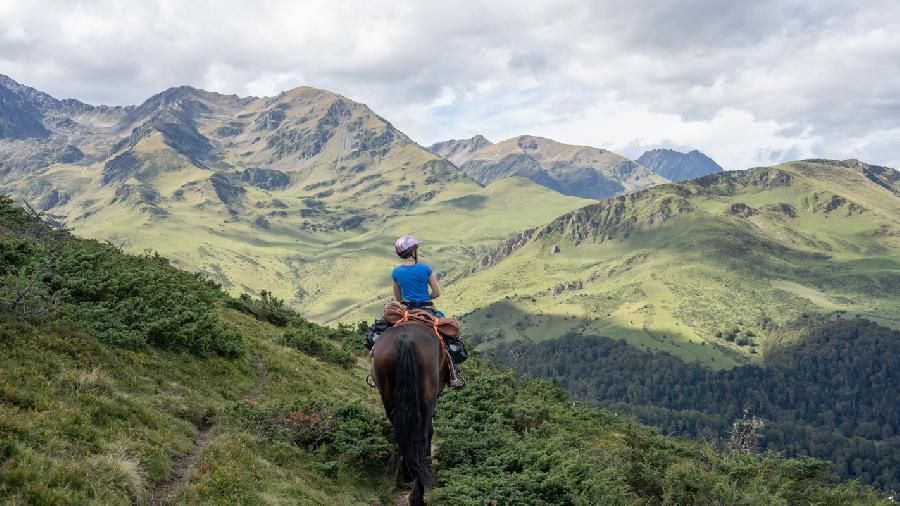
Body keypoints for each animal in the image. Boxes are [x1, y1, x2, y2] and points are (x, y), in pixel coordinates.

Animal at [370, 322, 450, 504]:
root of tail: (405, 339)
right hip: (427, 398)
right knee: (420, 438)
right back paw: (418, 493)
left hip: (388, 396)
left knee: (402, 432)